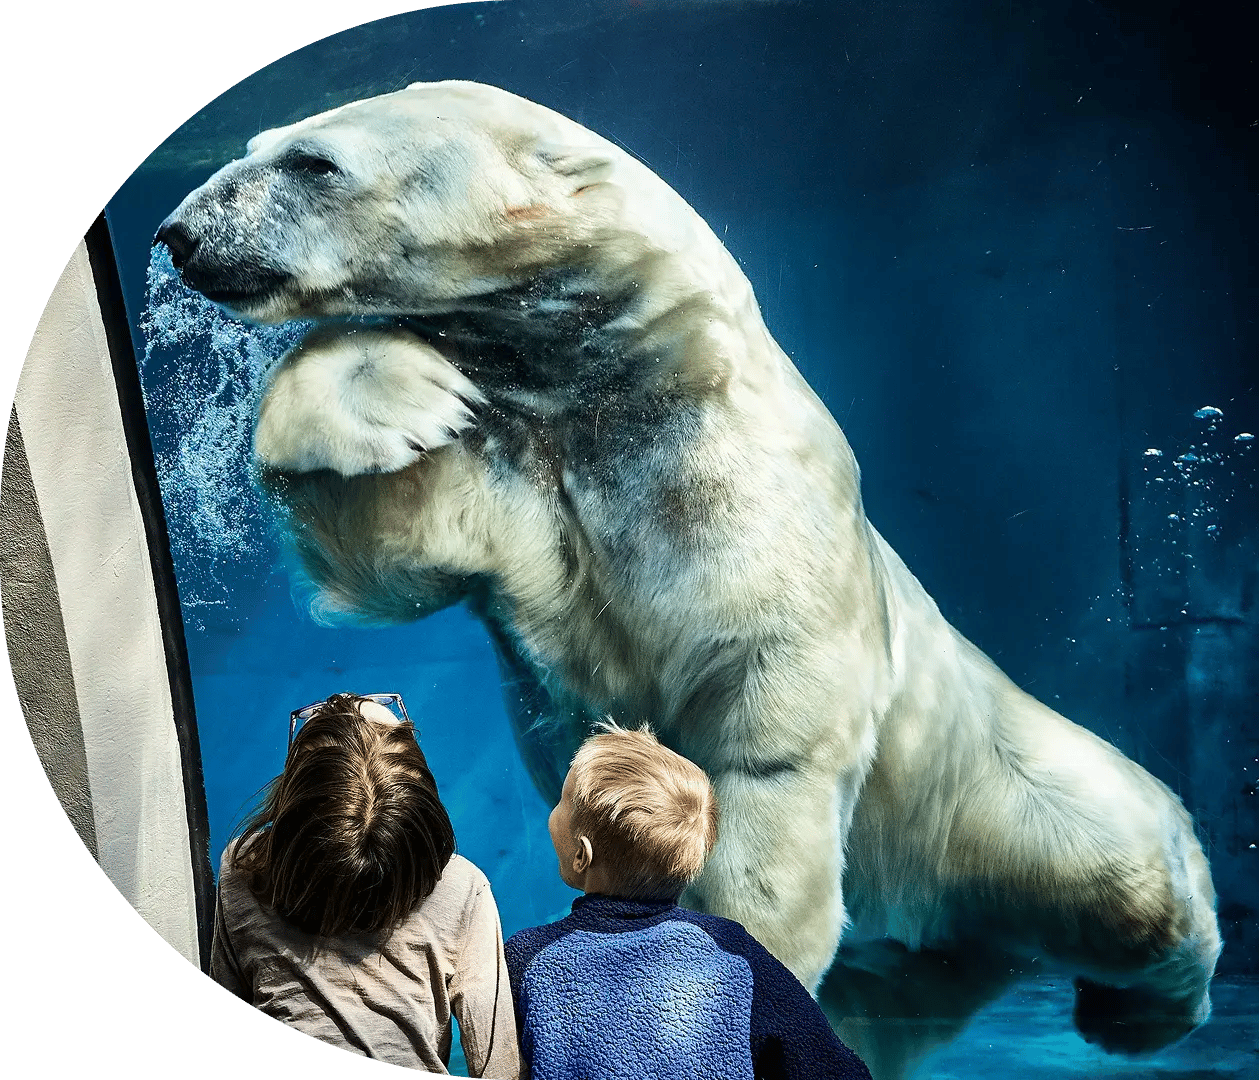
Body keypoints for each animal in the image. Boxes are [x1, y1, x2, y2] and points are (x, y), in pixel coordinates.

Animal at [156, 81, 1221, 1078]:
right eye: (258, 142)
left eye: (314, 162)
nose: (178, 234)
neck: (611, 379)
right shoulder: (525, 470)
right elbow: (397, 547)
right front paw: (386, 394)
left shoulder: (748, 494)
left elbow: (768, 735)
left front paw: (731, 935)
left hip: (981, 788)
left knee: (1124, 870)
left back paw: (1139, 1010)